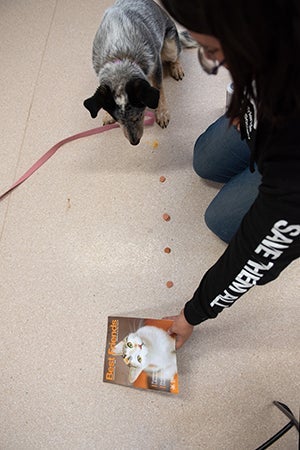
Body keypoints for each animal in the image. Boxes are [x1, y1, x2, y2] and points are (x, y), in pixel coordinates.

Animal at [84, 0, 197, 145]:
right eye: (119, 121)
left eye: (139, 117)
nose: (135, 142)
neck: (120, 57)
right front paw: (107, 115)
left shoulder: (156, 65)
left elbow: (159, 88)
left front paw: (162, 113)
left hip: (170, 46)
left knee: (177, 54)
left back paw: (176, 68)